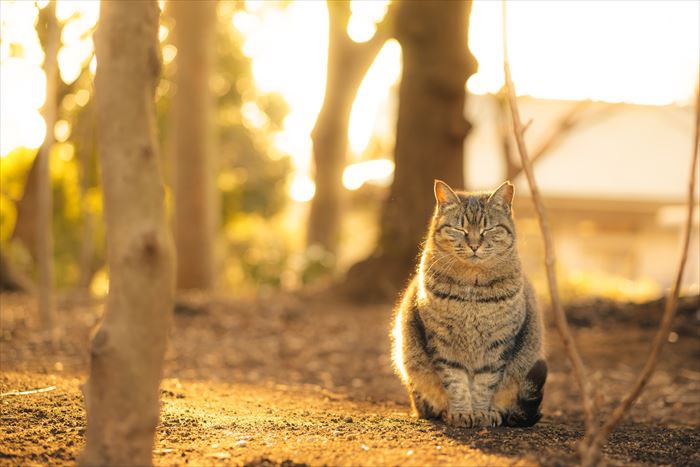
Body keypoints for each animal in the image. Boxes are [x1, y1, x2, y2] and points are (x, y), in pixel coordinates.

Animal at [392, 180, 544, 428]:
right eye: (459, 228)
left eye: (488, 229)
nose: (473, 244)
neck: (472, 289)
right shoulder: (443, 342)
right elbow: (455, 382)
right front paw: (461, 412)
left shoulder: (497, 344)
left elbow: (484, 384)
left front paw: (481, 413)